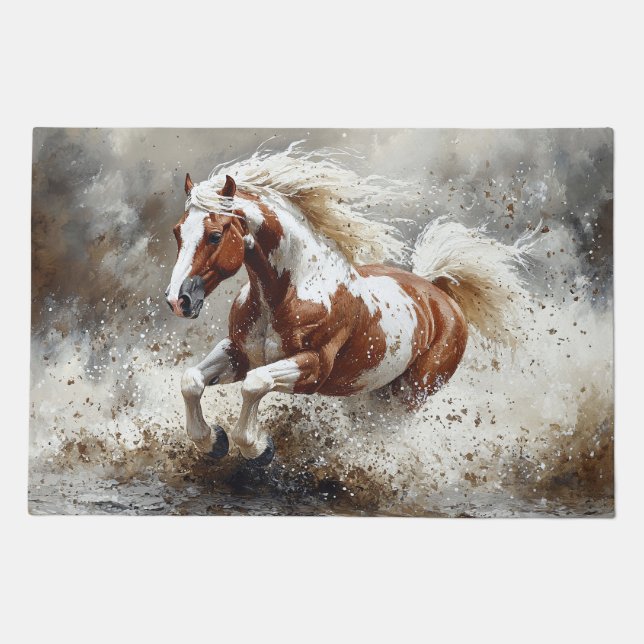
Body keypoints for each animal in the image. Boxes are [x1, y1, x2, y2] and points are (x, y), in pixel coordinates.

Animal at [165, 144, 530, 465]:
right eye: (177, 232)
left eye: (214, 235)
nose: (178, 300)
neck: (291, 291)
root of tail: (439, 295)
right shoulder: (239, 353)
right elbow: (191, 380)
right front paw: (212, 441)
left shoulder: (313, 368)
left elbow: (255, 384)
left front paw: (258, 449)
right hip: (372, 391)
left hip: (409, 396)